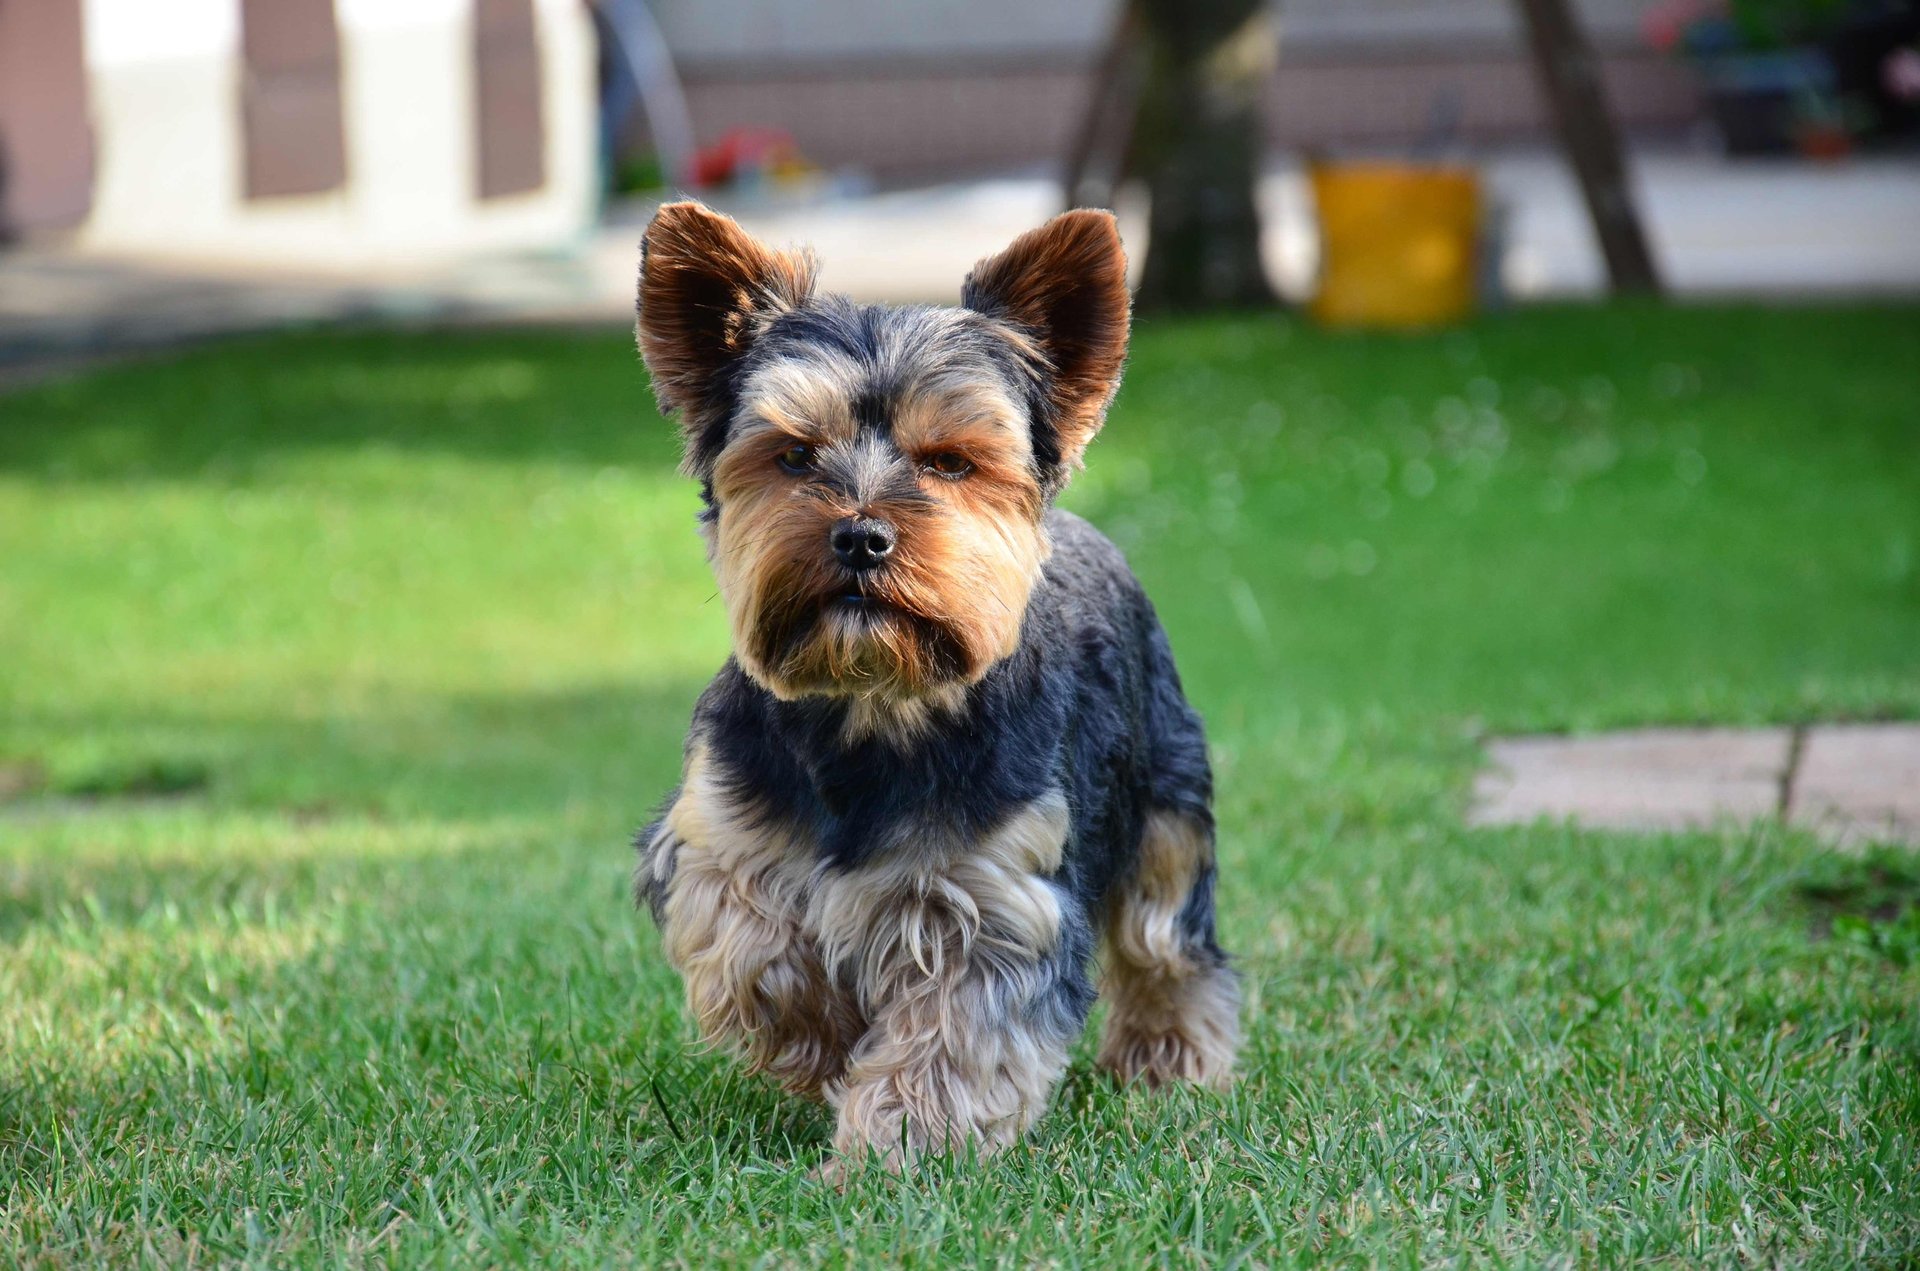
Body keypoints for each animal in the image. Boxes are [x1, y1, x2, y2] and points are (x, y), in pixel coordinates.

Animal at [625, 201, 1228, 1175]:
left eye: (949, 461)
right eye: (795, 455)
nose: (861, 535)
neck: (875, 702)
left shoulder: (997, 887)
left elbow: (958, 1027)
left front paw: (898, 1152)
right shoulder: (718, 834)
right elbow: (753, 948)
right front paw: (827, 1040)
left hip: (1165, 793)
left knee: (1166, 935)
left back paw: (1168, 1059)